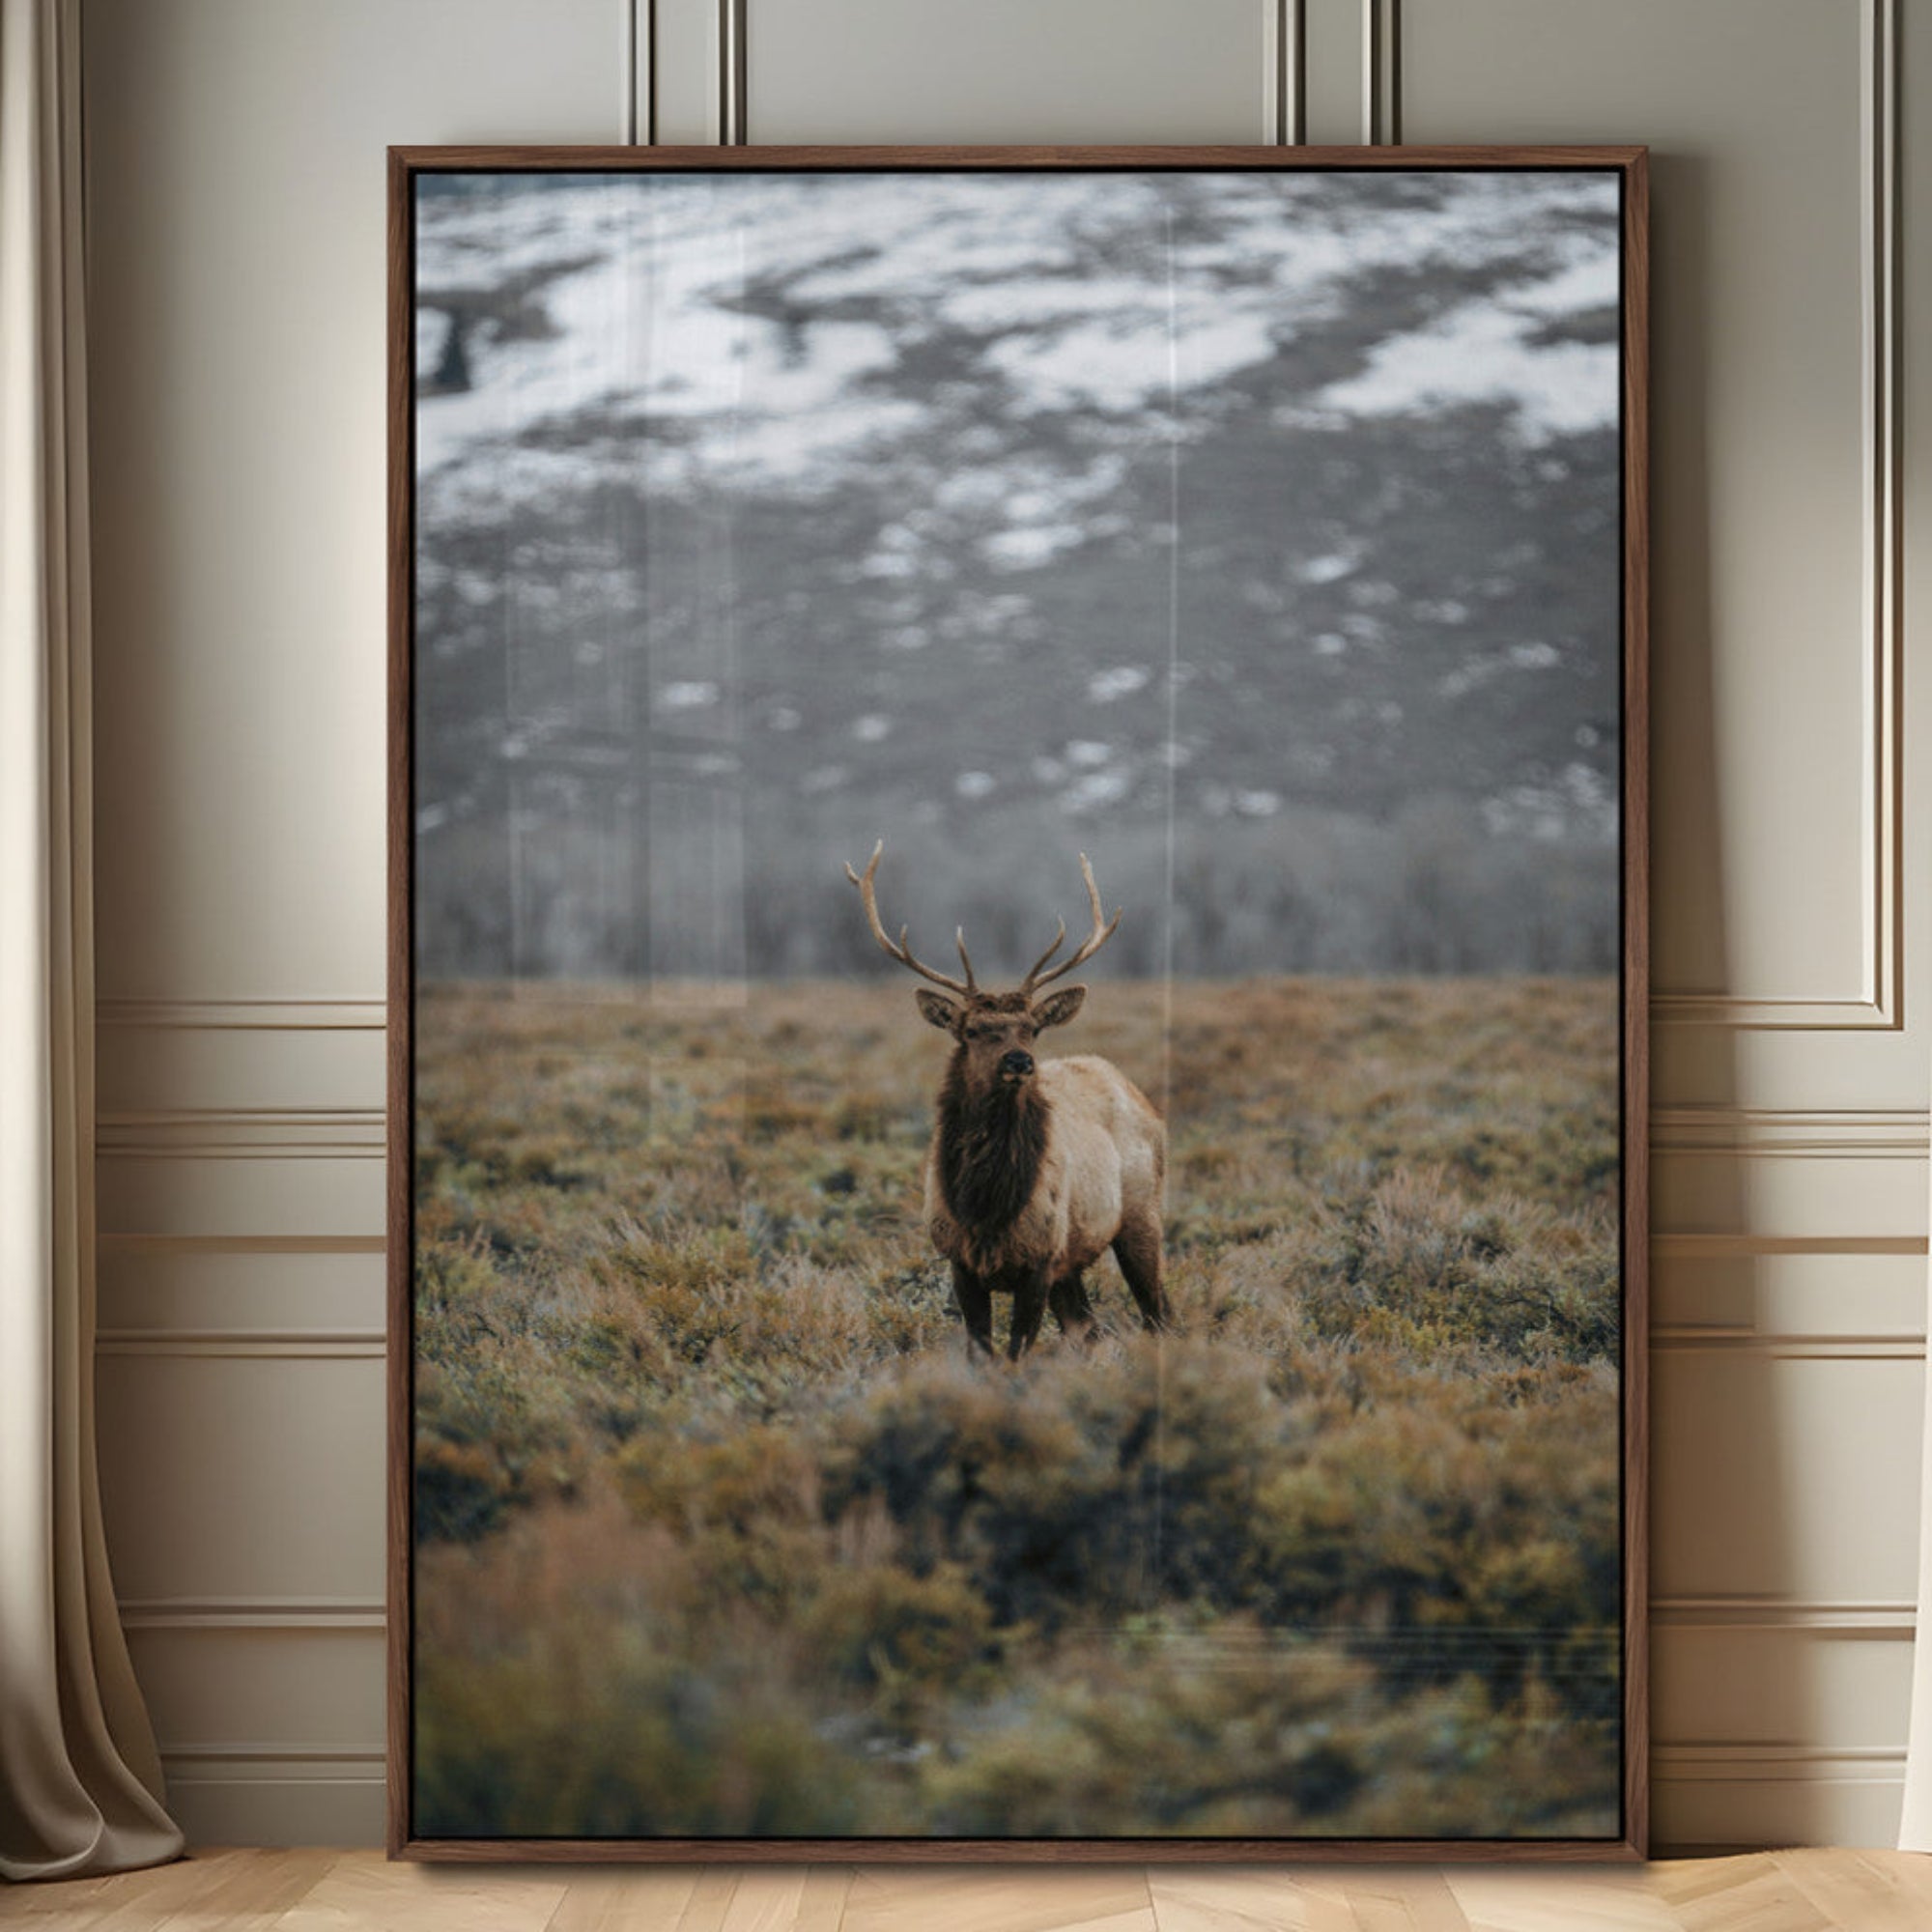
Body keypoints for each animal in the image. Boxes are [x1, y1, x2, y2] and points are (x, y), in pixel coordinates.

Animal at [846, 842, 1169, 1361]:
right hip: (1075, 1260)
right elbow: (982, 1354)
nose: (1020, 1060)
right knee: (1089, 1329)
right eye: (974, 1030)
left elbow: (1015, 1354)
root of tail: (1137, 1092)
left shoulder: (1039, 1259)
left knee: (1158, 1315)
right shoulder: (960, 1262)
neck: (986, 1208)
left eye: (1032, 1028)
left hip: (1142, 1214)